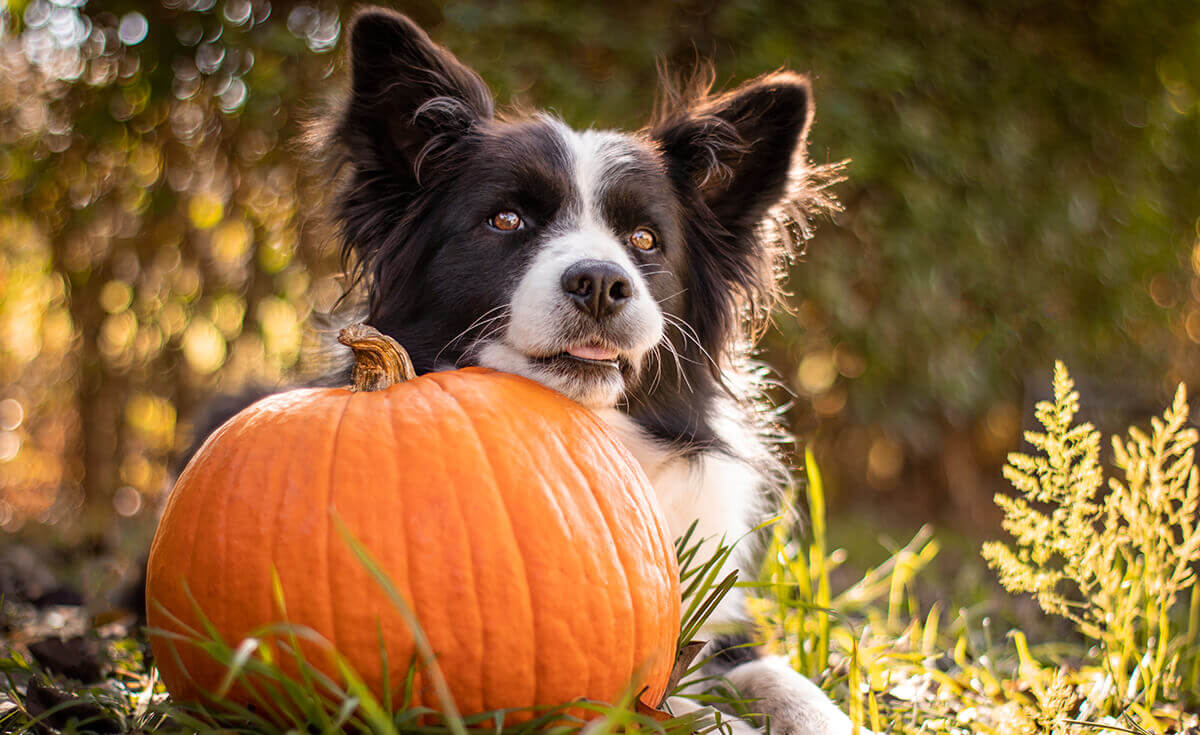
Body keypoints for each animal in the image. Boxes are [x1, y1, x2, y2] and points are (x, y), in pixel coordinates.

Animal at [304, 7, 859, 735]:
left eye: (645, 240)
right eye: (505, 219)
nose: (601, 284)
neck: (591, 429)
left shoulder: (725, 622)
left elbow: (779, 674)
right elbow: (662, 697)